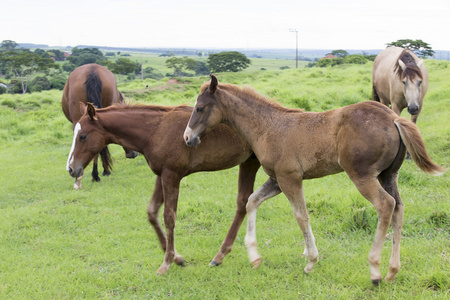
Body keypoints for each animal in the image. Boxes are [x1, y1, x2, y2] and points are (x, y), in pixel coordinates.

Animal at [63, 102, 260, 274]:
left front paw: (167, 262)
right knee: (243, 201)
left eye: (83, 136)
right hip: (249, 162)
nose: (71, 168)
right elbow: (152, 212)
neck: (155, 130)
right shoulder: (161, 175)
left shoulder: (171, 175)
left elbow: (169, 217)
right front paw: (178, 259)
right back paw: (220, 256)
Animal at [185, 75, 444, 286]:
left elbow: (301, 215)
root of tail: (392, 117)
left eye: (200, 108)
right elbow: (252, 202)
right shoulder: (276, 180)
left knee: (385, 205)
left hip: (362, 176)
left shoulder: (290, 178)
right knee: (398, 207)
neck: (267, 126)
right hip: (388, 175)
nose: (187, 138)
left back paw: (375, 271)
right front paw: (254, 257)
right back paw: (392, 271)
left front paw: (310, 261)